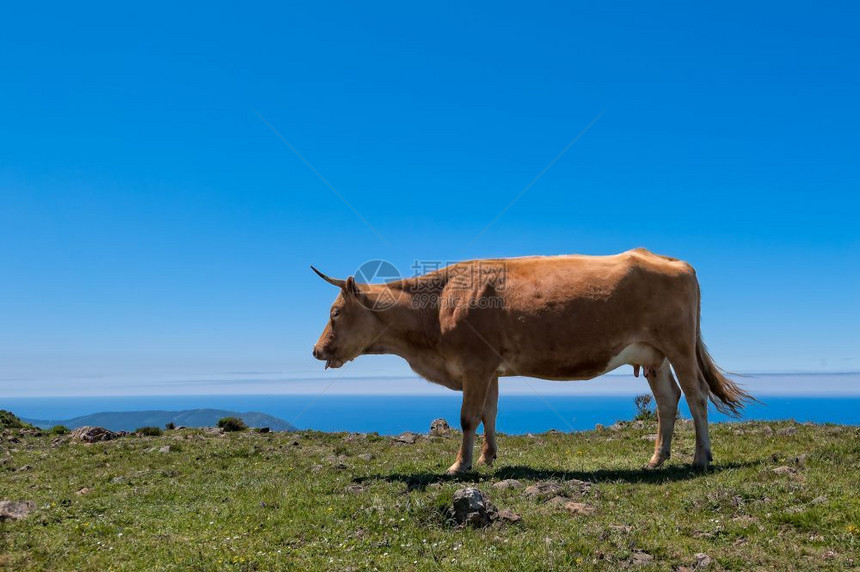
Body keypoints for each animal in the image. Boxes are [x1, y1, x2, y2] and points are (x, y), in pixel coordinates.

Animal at [310, 248, 752, 476]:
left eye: (335, 312)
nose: (316, 351)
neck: (438, 307)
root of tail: (675, 261)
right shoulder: (489, 369)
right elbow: (489, 414)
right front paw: (487, 458)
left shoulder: (474, 365)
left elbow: (467, 418)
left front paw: (459, 466)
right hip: (652, 355)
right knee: (667, 400)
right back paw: (657, 458)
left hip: (678, 346)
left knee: (695, 395)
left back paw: (700, 457)